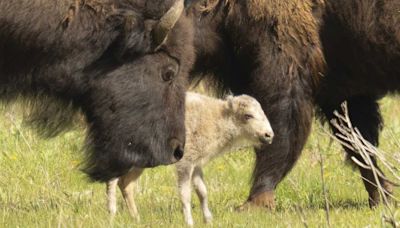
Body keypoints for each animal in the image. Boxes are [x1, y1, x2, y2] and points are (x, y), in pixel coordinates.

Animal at [188, 0, 400, 208]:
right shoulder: (339, 90)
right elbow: (358, 143)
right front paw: (381, 198)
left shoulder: (285, 67)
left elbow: (281, 130)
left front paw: (256, 202)